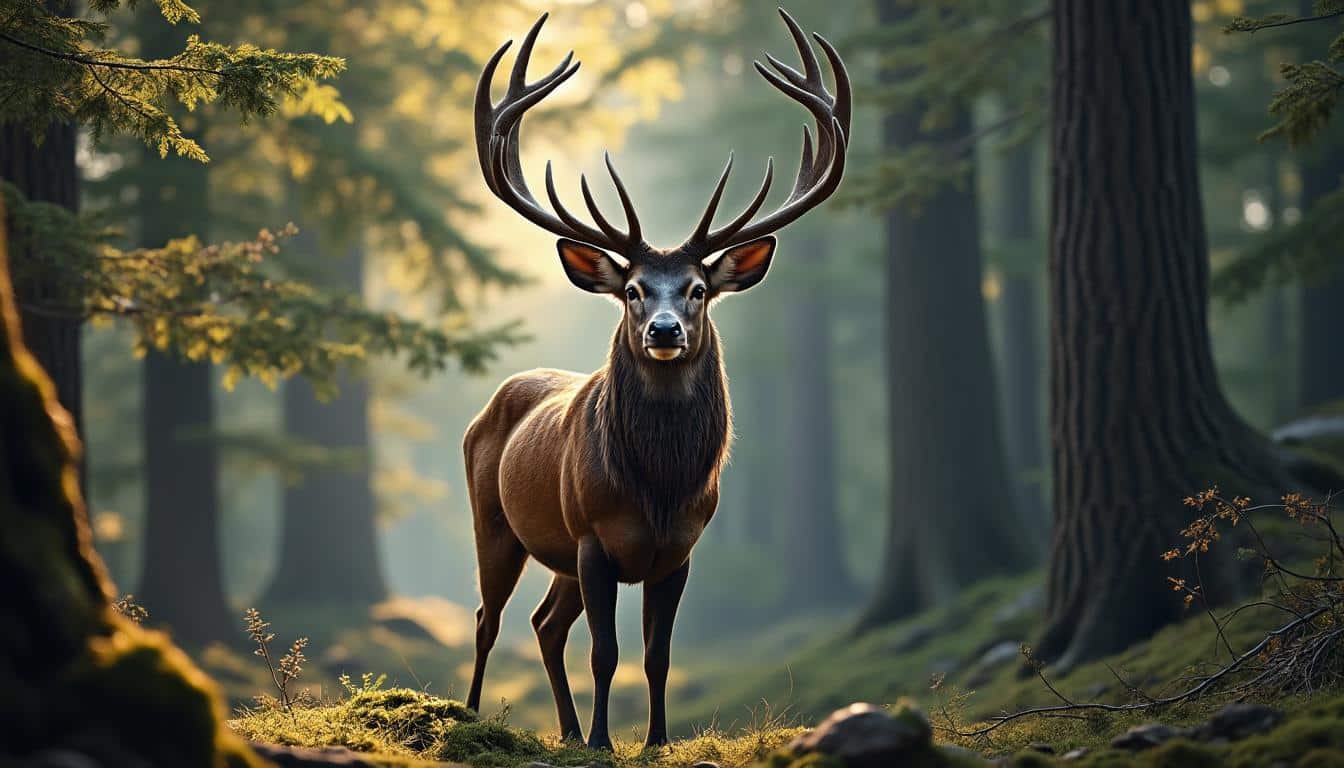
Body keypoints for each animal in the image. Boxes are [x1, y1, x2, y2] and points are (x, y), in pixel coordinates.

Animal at [463, 8, 850, 750]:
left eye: (698, 289)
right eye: (634, 290)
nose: (664, 331)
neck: (661, 488)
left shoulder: (679, 550)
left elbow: (657, 653)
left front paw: (655, 740)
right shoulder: (593, 535)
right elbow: (605, 651)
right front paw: (605, 741)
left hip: (556, 553)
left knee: (544, 625)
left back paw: (564, 730)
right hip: (494, 521)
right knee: (489, 619)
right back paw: (470, 714)